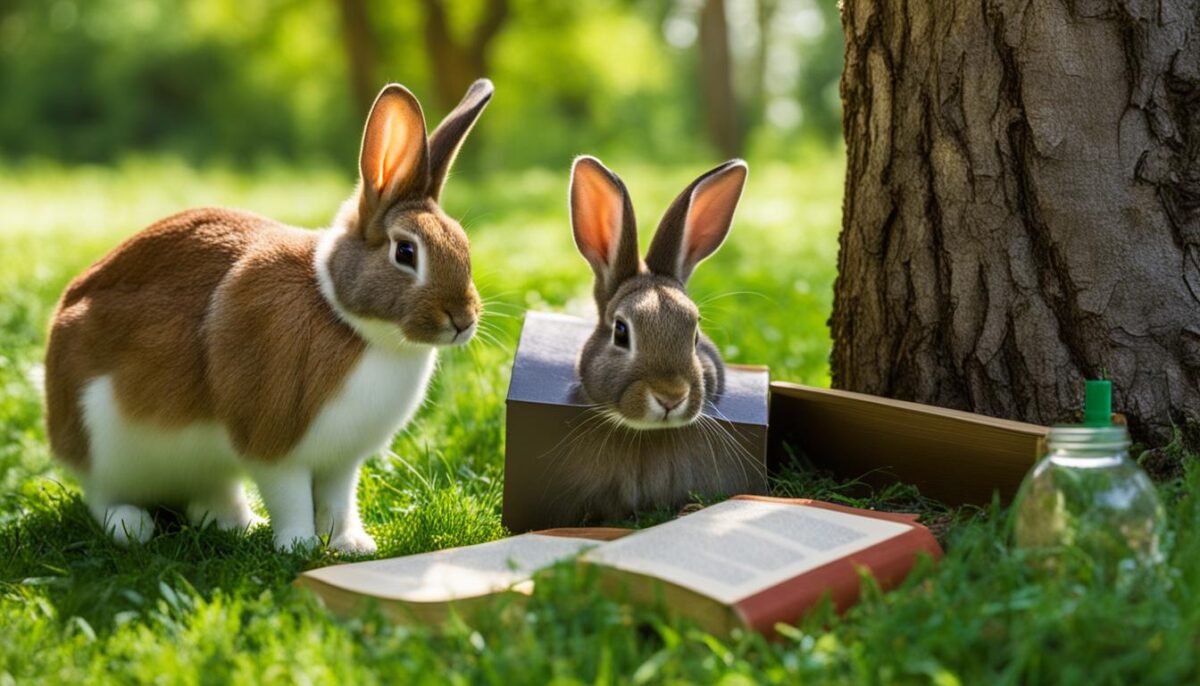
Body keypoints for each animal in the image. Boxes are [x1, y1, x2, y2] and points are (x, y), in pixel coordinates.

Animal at [43, 80, 493, 553]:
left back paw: (239, 523)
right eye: (405, 252)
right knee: (102, 496)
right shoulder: (275, 445)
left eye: (462, 243)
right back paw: (133, 525)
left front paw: (351, 545)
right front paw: (299, 546)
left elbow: (338, 500)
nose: (463, 320)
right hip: (102, 444)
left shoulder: (341, 461)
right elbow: (291, 498)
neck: (348, 321)